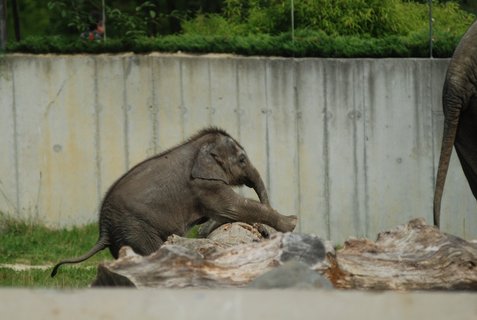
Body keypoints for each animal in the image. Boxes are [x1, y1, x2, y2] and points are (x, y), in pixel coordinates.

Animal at [53, 126, 298, 276]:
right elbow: (232, 207)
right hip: (135, 228)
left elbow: (223, 212)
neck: (197, 144)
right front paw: (292, 222)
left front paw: (205, 229)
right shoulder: (202, 183)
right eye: (242, 160)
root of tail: (102, 229)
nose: (264, 234)